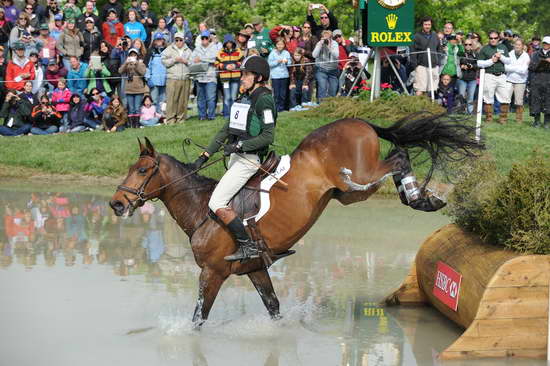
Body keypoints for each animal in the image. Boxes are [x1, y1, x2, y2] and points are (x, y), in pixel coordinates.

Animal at [110, 113, 480, 326]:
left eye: (141, 170)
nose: (116, 204)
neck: (203, 209)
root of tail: (359, 122)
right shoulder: (256, 268)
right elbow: (273, 306)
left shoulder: (212, 273)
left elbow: (198, 318)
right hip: (343, 196)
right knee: (398, 158)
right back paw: (422, 198)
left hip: (359, 178)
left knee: (395, 160)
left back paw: (413, 195)